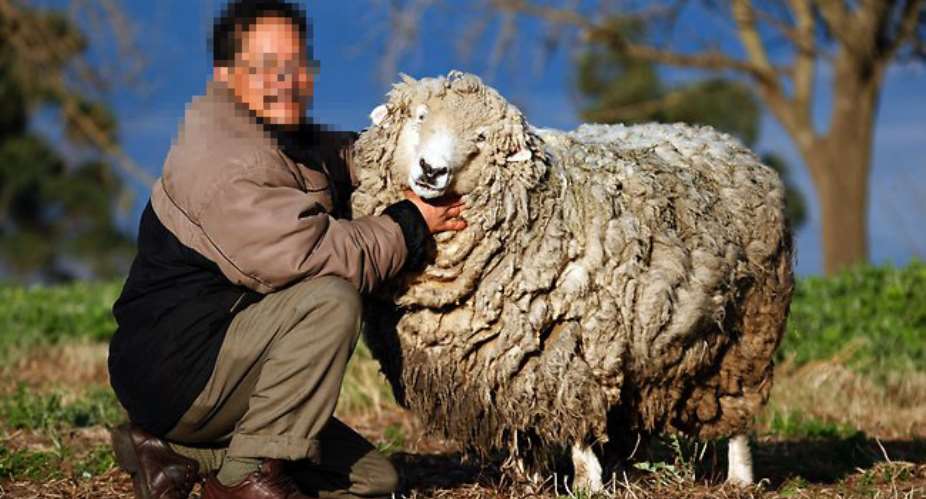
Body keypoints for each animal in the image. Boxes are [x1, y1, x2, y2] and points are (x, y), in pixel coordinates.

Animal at [349, 70, 794, 491]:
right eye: (420, 116)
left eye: (481, 137)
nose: (432, 170)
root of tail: (720, 139)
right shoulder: (509, 362)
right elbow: (524, 423)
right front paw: (529, 477)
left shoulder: (573, 342)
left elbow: (576, 416)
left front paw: (586, 482)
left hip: (749, 330)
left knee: (738, 410)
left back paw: (740, 477)